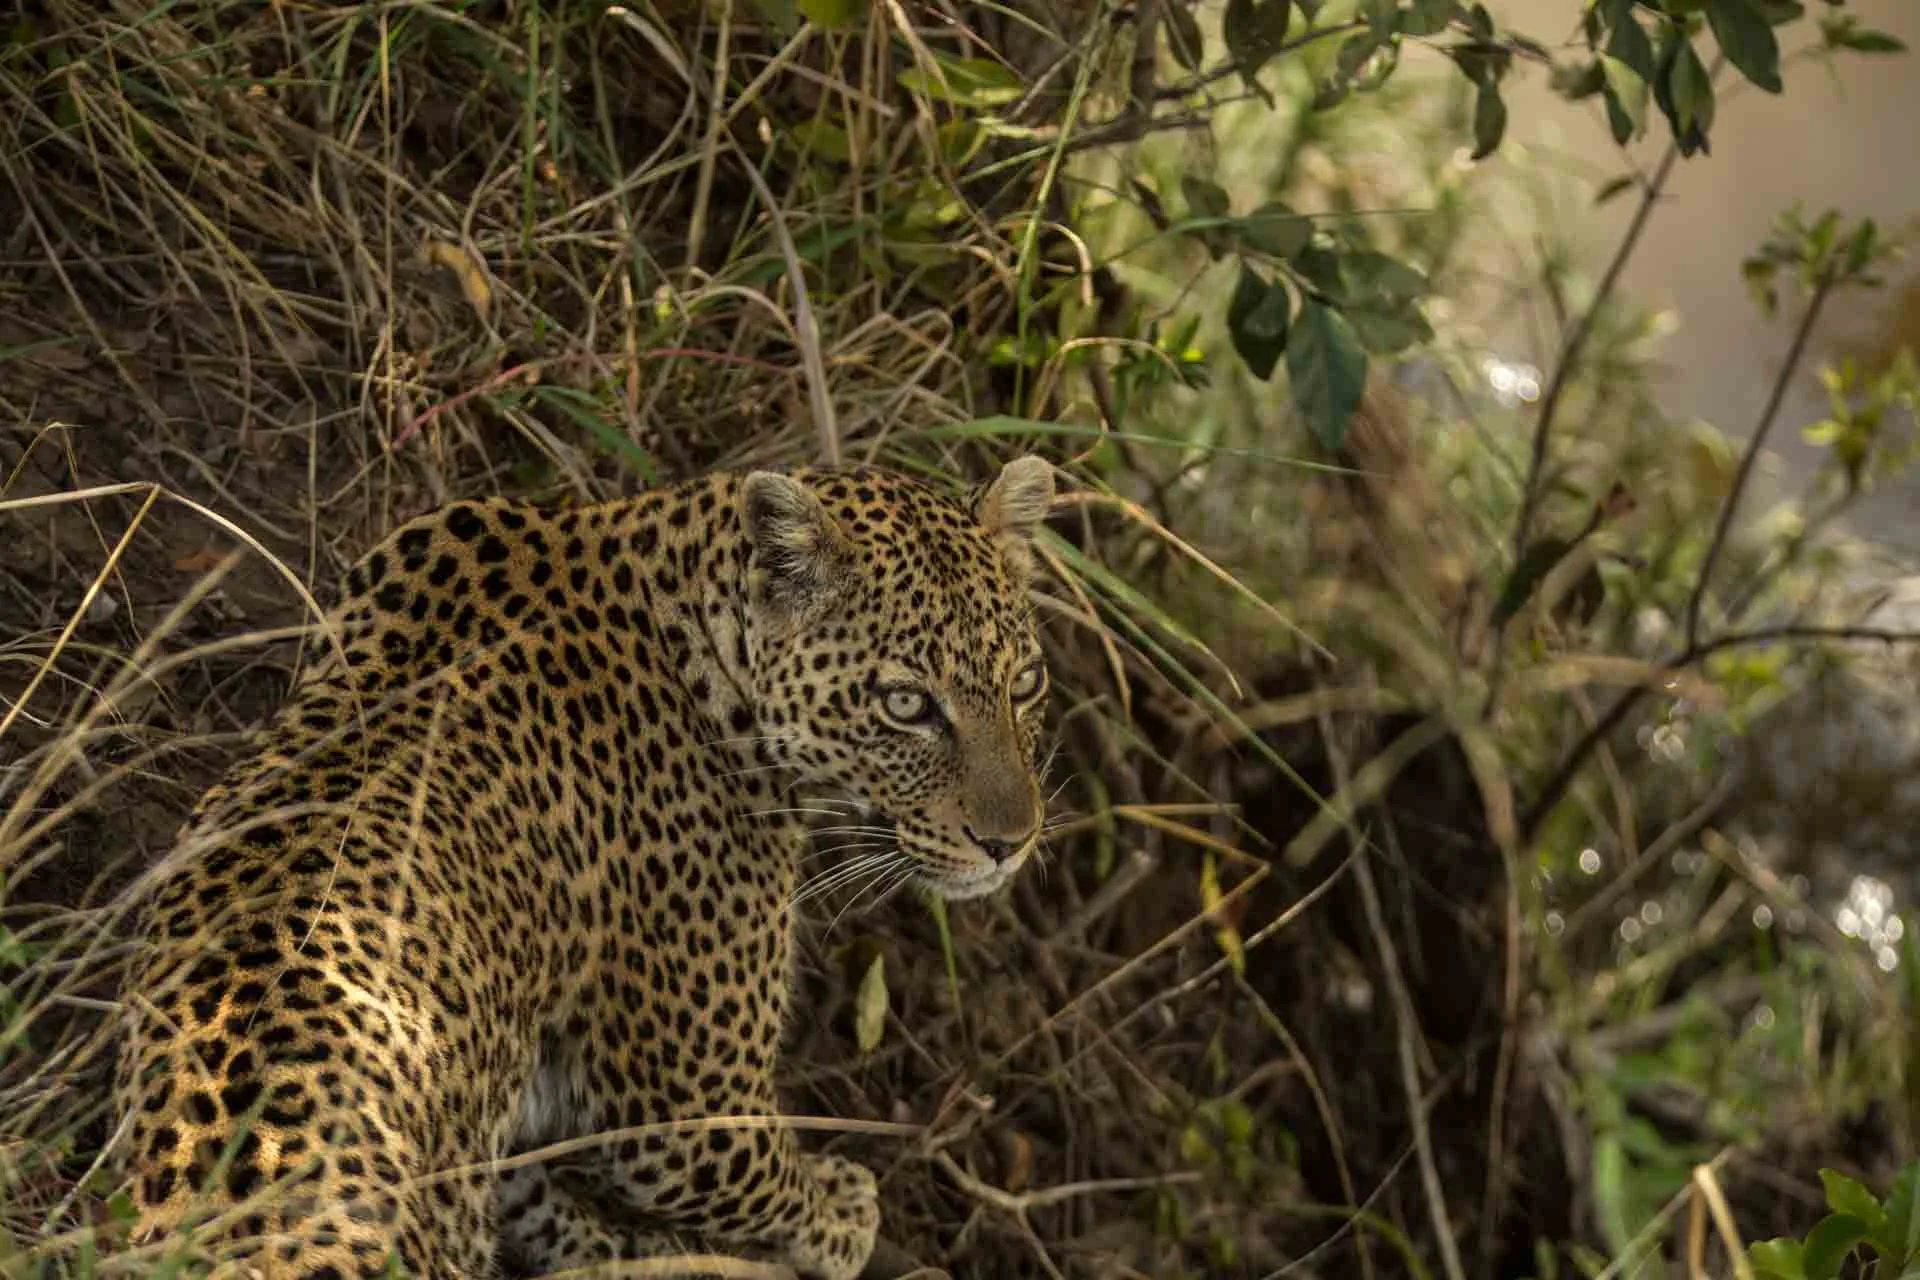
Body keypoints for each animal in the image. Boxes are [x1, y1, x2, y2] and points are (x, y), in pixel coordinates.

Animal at [111, 456, 1057, 1279]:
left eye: (1027, 684)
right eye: (907, 705)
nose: (1011, 841)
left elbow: (530, 1182)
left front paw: (615, 1245)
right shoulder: (682, 1101)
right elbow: (756, 1174)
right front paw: (838, 1214)